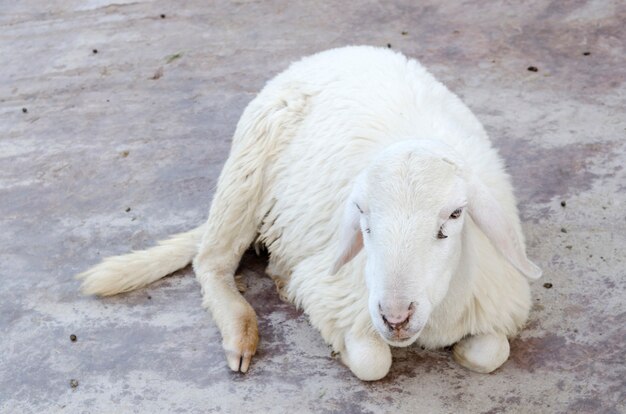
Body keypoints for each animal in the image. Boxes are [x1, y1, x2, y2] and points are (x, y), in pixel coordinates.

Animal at [77, 46, 540, 382]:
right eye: (363, 217)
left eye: (456, 215)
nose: (395, 318)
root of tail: (337, 51)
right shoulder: (336, 292)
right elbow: (373, 363)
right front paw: (348, 351)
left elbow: (492, 352)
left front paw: (464, 351)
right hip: (245, 171)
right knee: (210, 262)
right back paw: (241, 335)